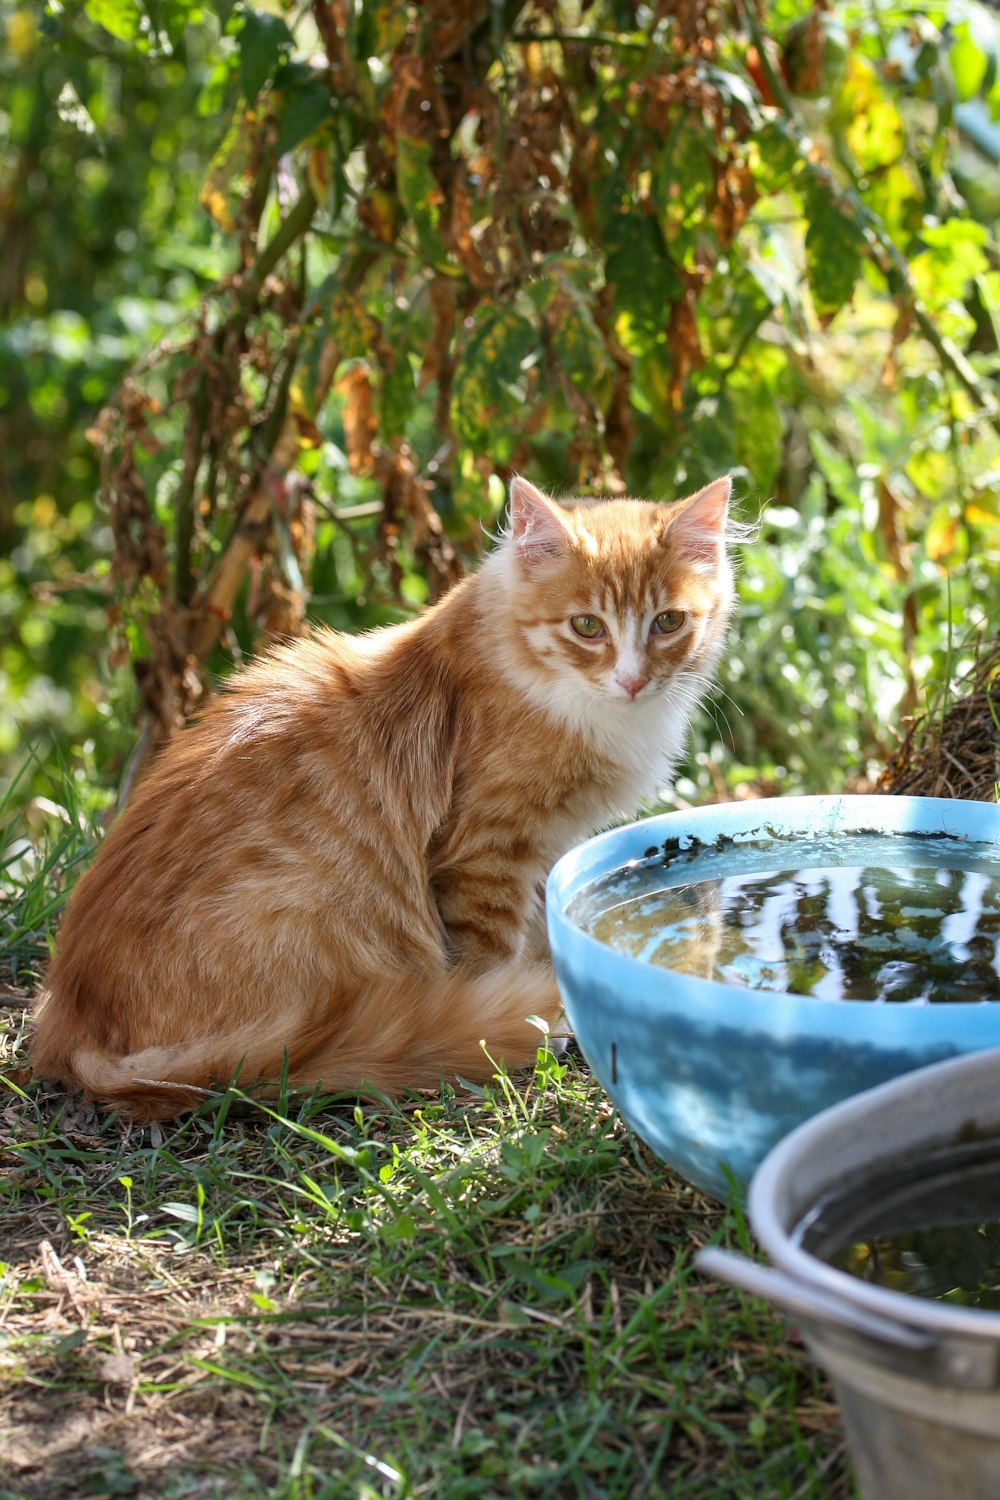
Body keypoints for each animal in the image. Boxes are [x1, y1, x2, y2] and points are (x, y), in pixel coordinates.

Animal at [33, 474, 734, 1122]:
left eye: (668, 623)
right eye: (587, 627)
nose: (634, 680)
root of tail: (69, 1025)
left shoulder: (543, 849)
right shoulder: (487, 854)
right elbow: (490, 959)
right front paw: (524, 1019)